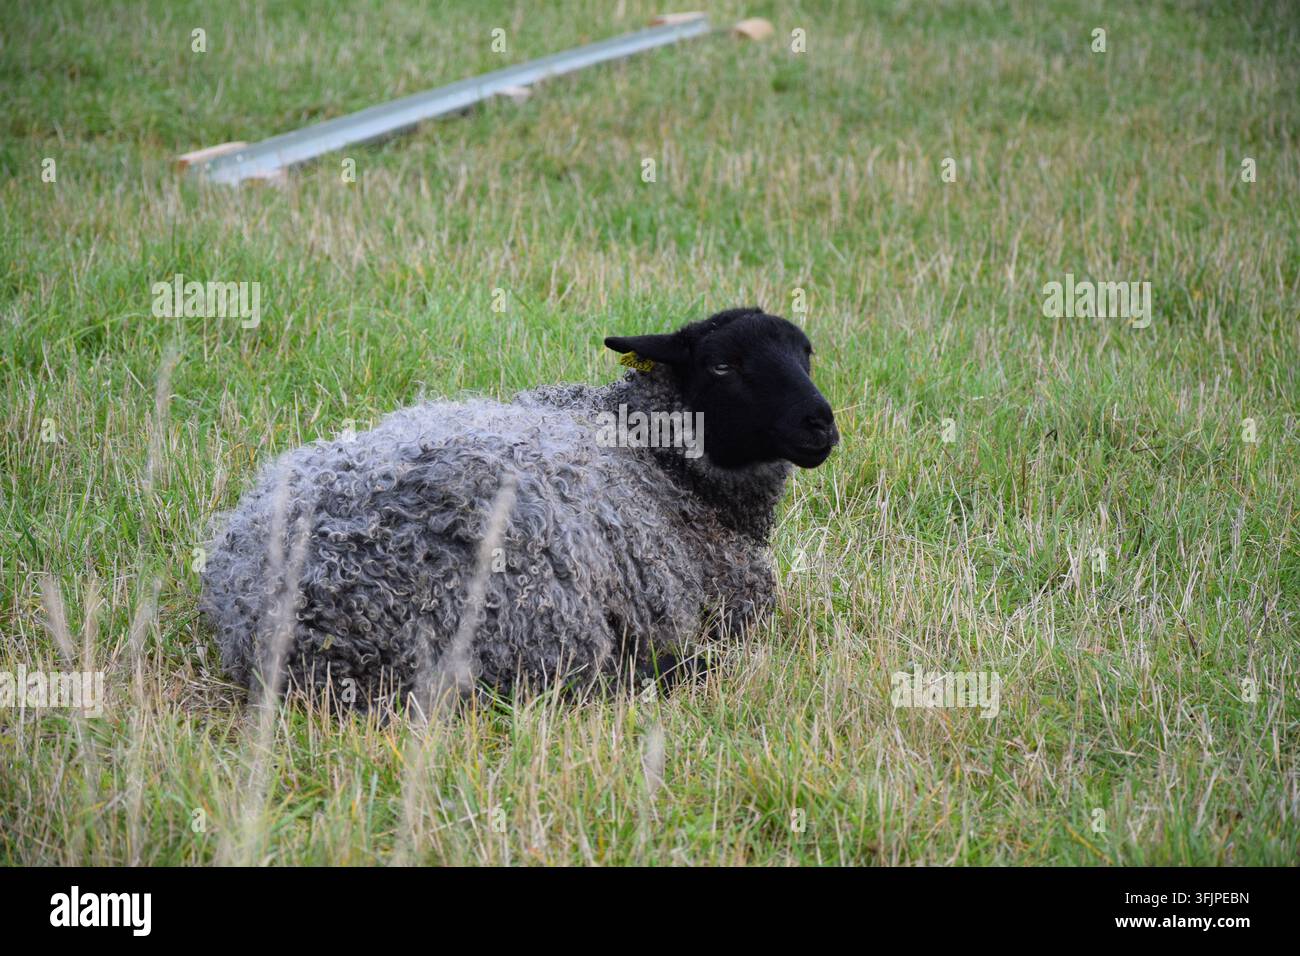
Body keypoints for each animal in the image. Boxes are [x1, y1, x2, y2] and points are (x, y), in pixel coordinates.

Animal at [199, 307, 839, 710]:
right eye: (722, 365)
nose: (820, 423)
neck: (652, 449)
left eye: (806, 353)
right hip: (543, 623)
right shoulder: (735, 606)